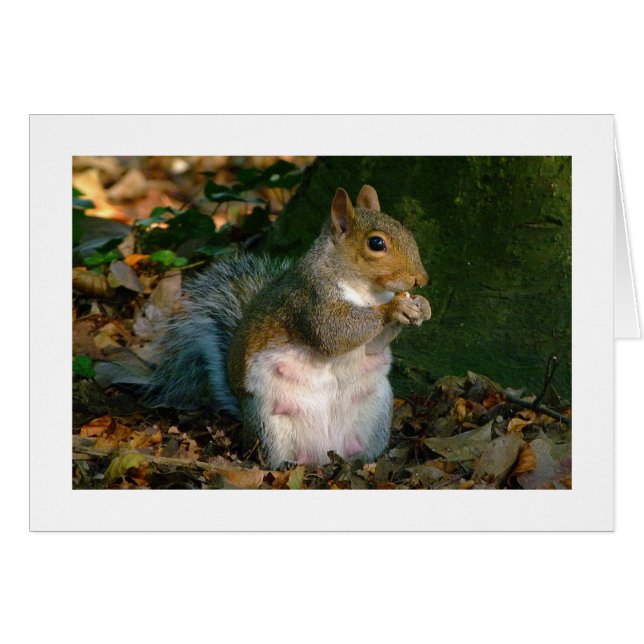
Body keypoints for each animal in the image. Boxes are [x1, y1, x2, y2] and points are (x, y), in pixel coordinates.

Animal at [144, 185, 431, 469]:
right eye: (376, 243)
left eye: (405, 230)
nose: (422, 280)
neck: (367, 292)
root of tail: (324, 452)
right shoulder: (311, 298)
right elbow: (333, 334)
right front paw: (395, 308)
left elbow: (373, 347)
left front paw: (422, 306)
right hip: (268, 421)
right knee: (270, 456)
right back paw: (286, 465)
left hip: (377, 410)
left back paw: (360, 461)